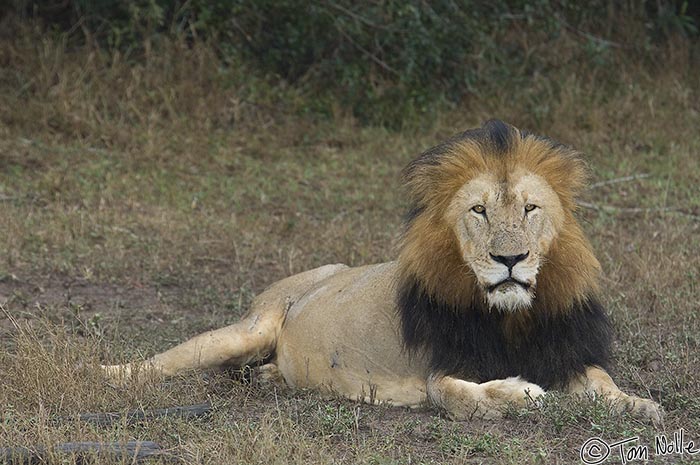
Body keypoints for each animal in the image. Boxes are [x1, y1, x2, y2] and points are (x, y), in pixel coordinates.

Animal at [102, 118, 660, 420]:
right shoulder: (440, 369)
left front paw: (638, 405)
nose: (510, 260)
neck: (511, 318)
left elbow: (602, 380)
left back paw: (271, 378)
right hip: (248, 328)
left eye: (530, 209)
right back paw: (108, 373)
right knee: (165, 361)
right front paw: (520, 393)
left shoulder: (563, 351)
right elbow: (458, 395)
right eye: (478, 211)